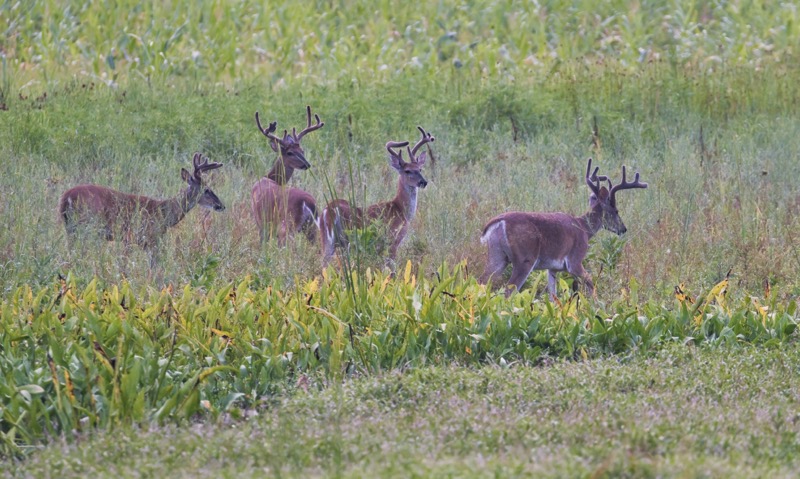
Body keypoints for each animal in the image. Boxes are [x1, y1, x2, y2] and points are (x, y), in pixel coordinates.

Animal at [59, 154, 225, 266]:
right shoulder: (146, 236)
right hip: (86, 225)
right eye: (206, 189)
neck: (164, 213)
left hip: (71, 227)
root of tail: (66, 197)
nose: (221, 205)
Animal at [252, 105, 324, 244]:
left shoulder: (261, 223)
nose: (307, 164)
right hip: (312, 228)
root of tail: (308, 203)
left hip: (287, 225)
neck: (271, 177)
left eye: (301, 150)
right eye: (290, 152)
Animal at [318, 126, 434, 270]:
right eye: (407, 170)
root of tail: (329, 210)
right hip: (347, 237)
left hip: (328, 240)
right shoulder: (392, 240)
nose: (423, 182)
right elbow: (391, 268)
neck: (401, 210)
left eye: (420, 169)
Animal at [478, 159, 648, 298]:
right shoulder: (575, 260)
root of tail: (499, 222)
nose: (623, 228)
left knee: (481, 282)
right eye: (616, 211)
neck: (584, 228)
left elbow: (553, 296)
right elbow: (591, 283)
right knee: (508, 291)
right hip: (524, 258)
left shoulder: (552, 268)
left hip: (497, 255)